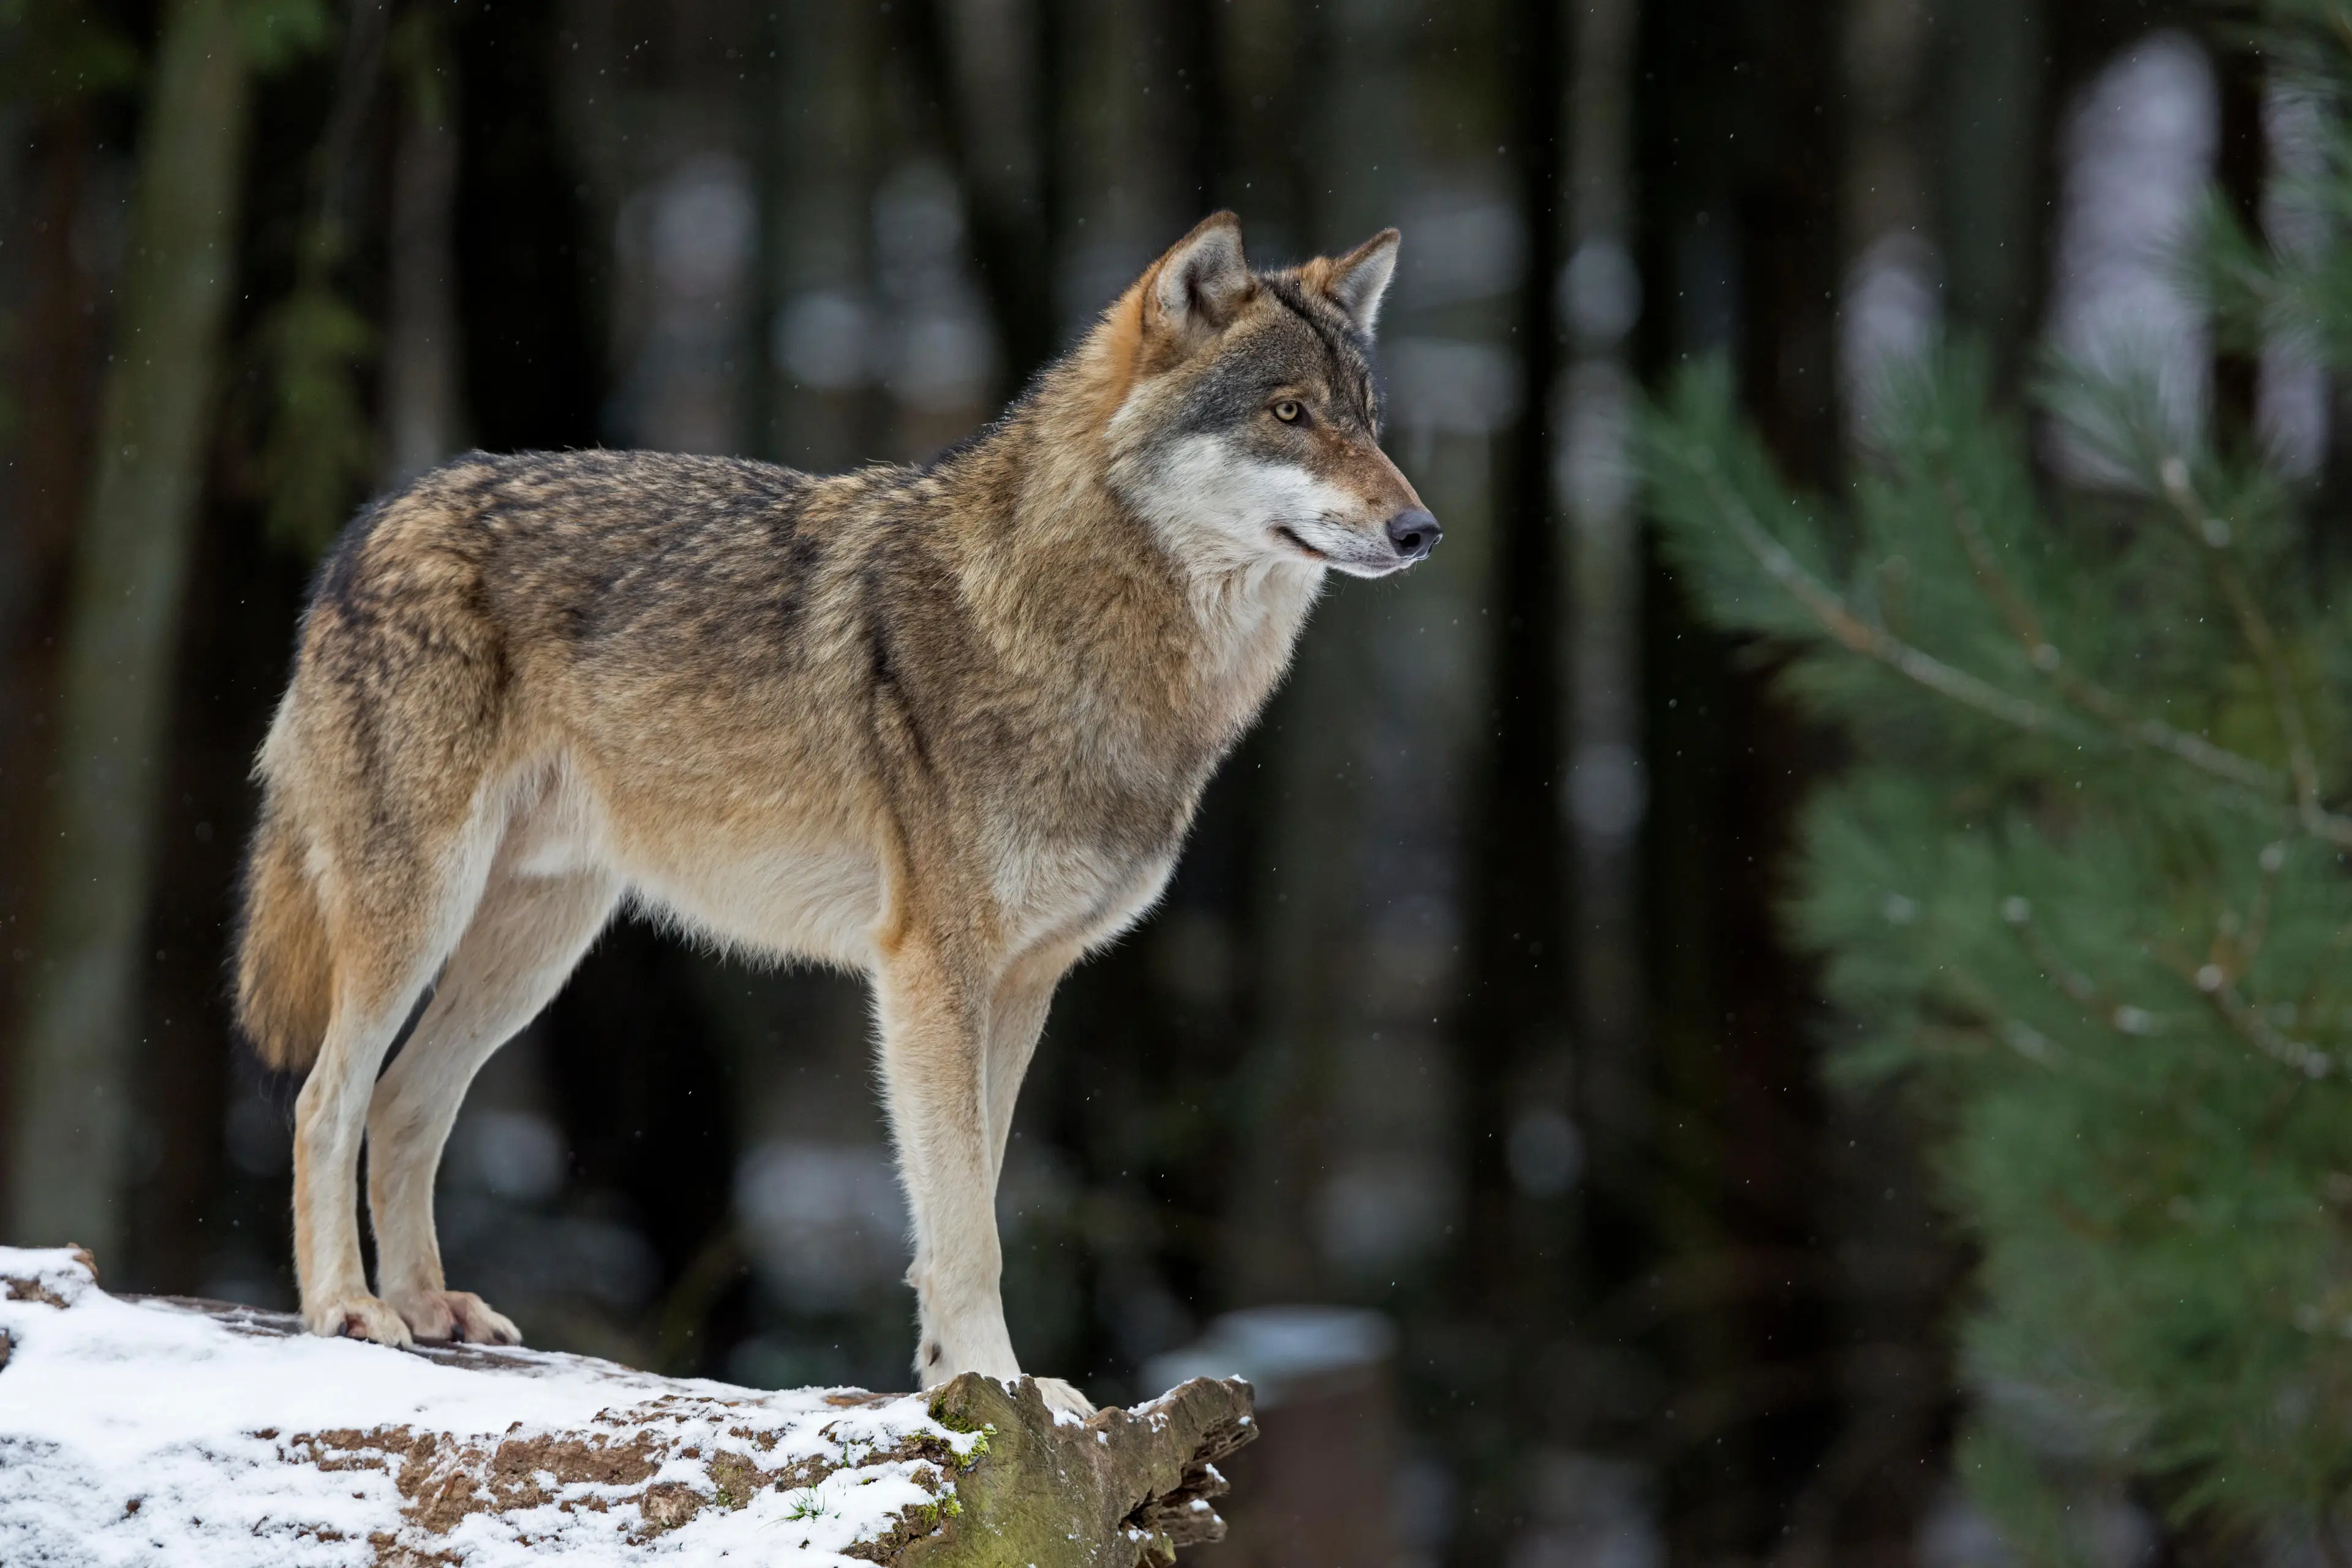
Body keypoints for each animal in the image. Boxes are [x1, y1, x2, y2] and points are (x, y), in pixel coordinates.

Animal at [233, 212, 1438, 1413]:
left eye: (1368, 422)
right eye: (1289, 414)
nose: (1421, 530)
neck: (1083, 632)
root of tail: (370, 525)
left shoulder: (1026, 983)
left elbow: (975, 1195)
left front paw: (974, 1387)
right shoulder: (930, 970)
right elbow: (966, 1225)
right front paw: (995, 1383)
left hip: (537, 950)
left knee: (404, 1103)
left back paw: (432, 1305)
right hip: (422, 917)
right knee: (325, 1100)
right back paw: (348, 1307)